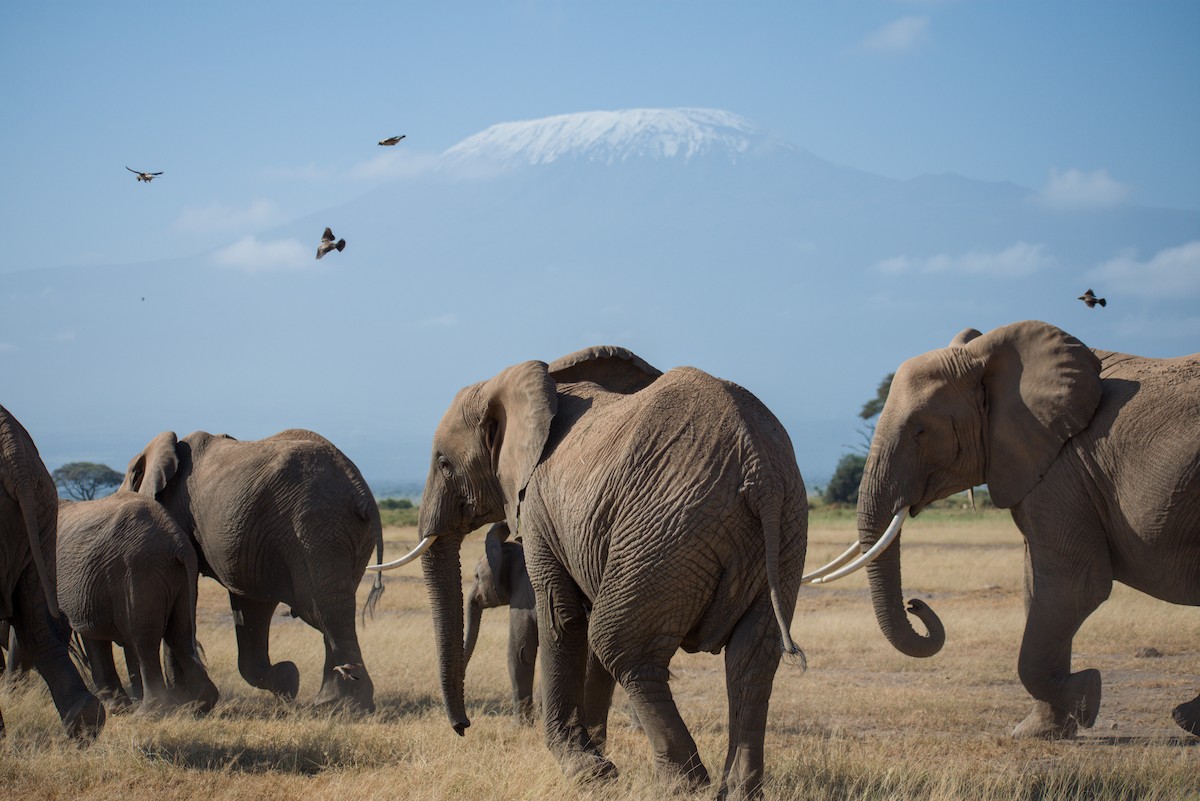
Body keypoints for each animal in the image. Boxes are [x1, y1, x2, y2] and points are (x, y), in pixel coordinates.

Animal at [56, 493, 219, 716]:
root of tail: (177, 542)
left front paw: (117, 709)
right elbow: (92, 634)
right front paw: (117, 708)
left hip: (139, 572)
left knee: (144, 641)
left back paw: (147, 713)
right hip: (179, 577)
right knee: (180, 634)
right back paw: (200, 704)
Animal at [121, 428, 384, 713]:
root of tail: (360, 490)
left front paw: (187, 702)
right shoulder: (254, 546)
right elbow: (251, 605)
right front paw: (287, 680)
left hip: (314, 528)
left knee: (323, 609)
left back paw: (345, 705)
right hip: (336, 534)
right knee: (333, 607)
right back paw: (335, 702)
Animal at [853, 320, 1199, 739]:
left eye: (920, 431)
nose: (915, 603)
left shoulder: (1065, 469)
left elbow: (1073, 586)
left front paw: (1087, 695)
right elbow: (1036, 585)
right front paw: (1041, 731)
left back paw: (1185, 718)